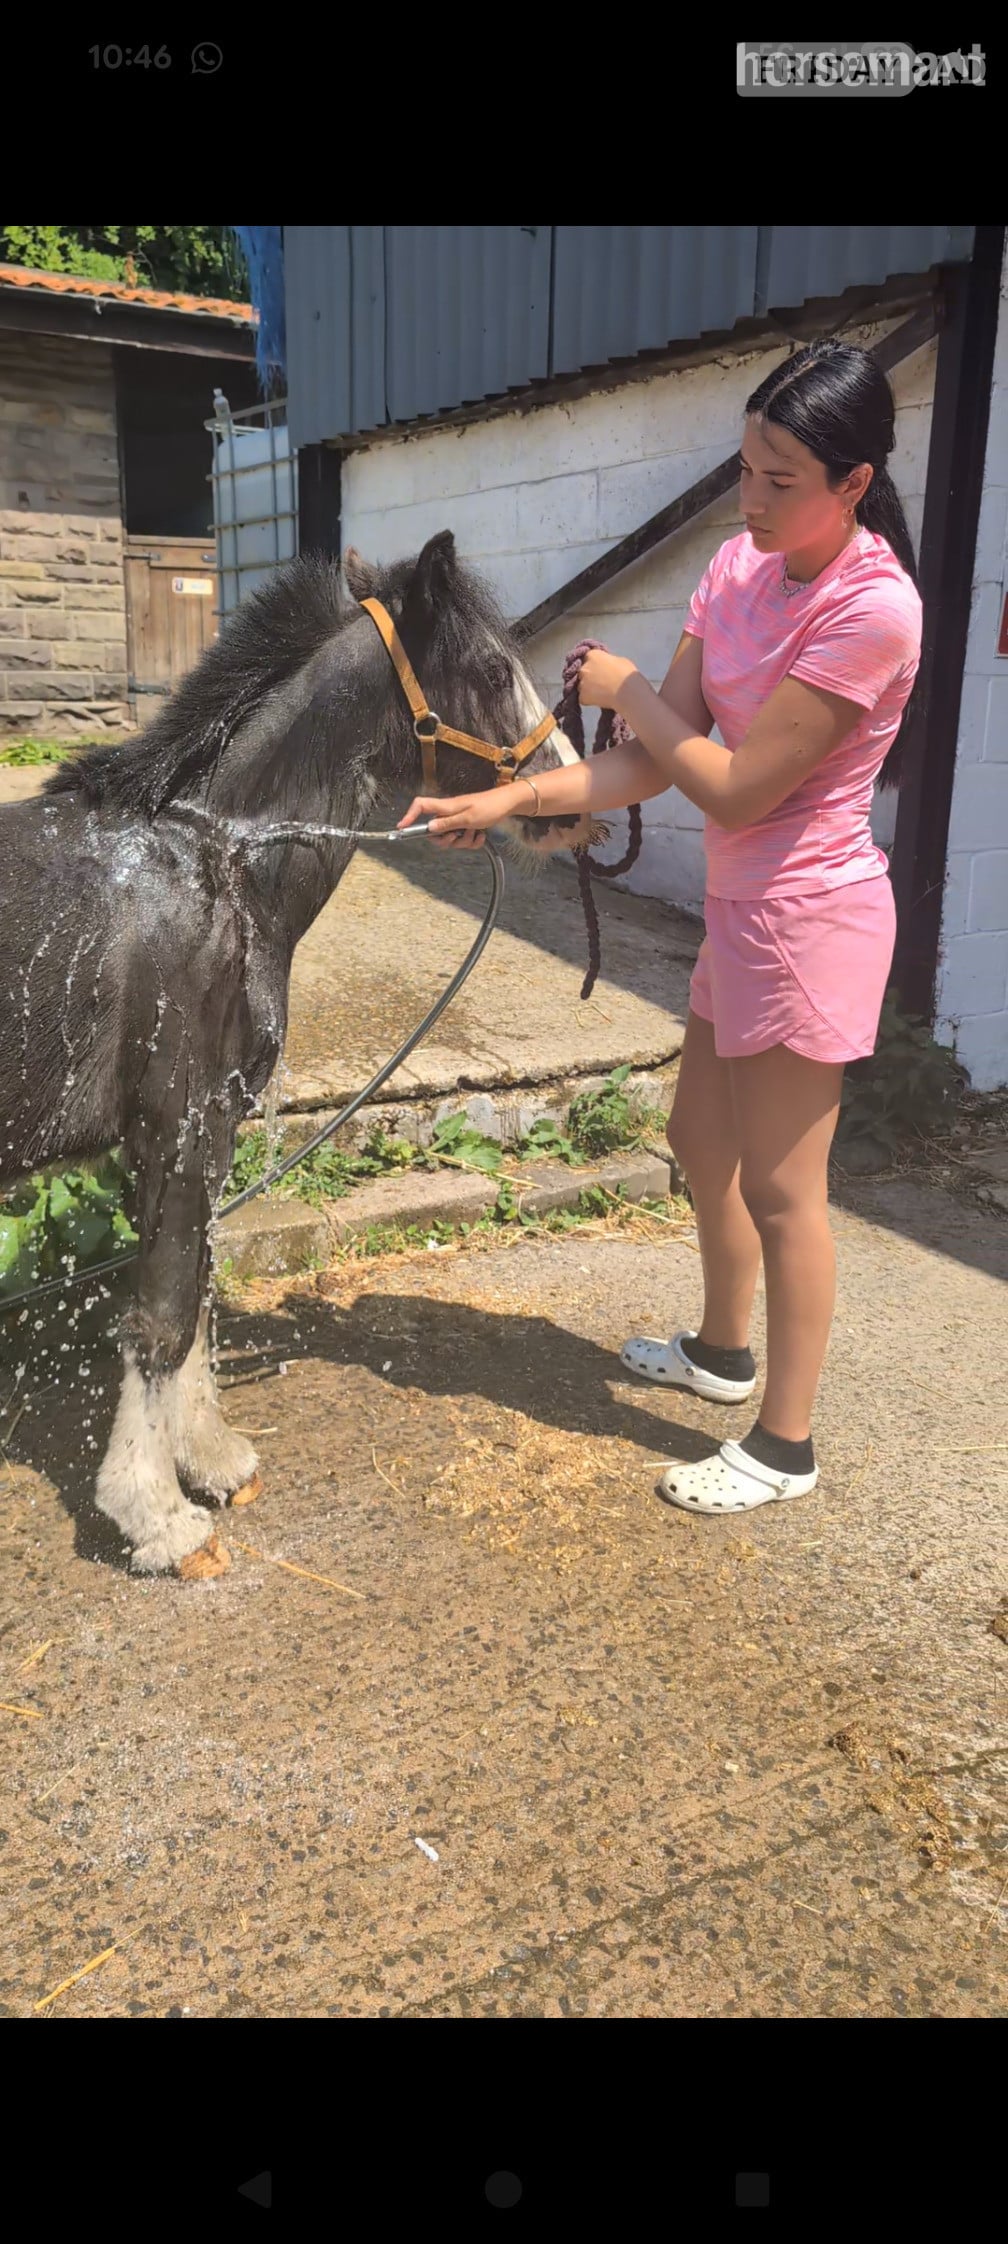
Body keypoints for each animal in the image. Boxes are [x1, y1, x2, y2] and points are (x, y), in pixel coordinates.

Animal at [0, 530, 589, 1576]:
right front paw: (155, 1516)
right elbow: (162, 1315)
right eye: (490, 671)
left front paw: (209, 1459)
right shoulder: (181, 1127)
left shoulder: (198, 1137)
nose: (568, 802)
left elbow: (196, 1291)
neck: (214, 864)